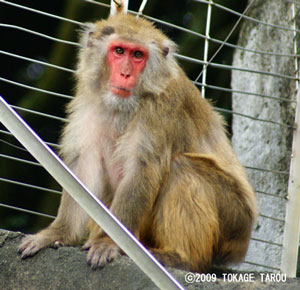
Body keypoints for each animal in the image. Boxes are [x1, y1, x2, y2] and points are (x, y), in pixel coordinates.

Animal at [18, 11, 258, 274]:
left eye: (137, 55)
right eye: (119, 51)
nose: (125, 74)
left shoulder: (161, 108)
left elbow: (142, 168)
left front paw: (108, 241)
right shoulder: (89, 102)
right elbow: (83, 166)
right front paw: (57, 233)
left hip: (234, 222)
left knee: (184, 167)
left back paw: (181, 257)